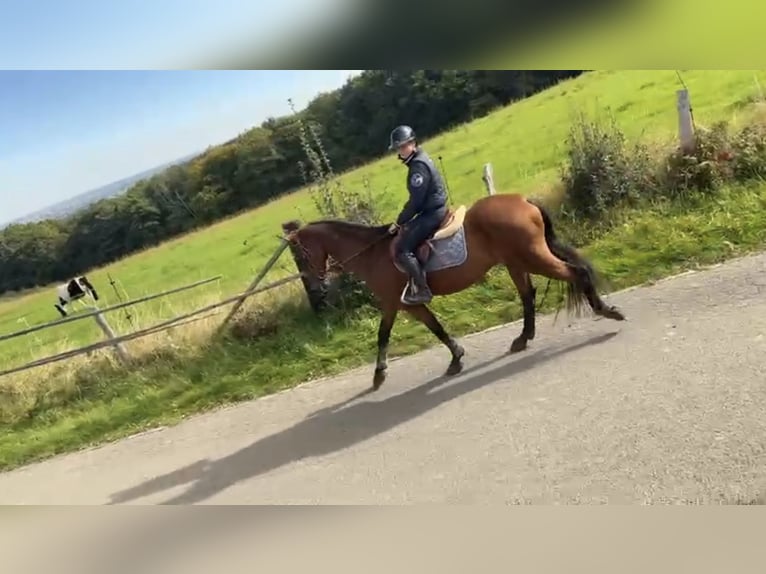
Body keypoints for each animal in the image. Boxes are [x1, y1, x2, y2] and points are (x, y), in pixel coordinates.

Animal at [286, 192, 625, 391]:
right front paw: (457, 357)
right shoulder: (404, 304)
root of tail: (525, 201)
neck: (373, 252)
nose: (316, 286)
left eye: (301, 252)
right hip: (516, 262)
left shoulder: (396, 303)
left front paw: (379, 375)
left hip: (533, 257)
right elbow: (432, 328)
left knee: (576, 273)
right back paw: (522, 339)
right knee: (527, 295)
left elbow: (387, 335)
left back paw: (607, 311)